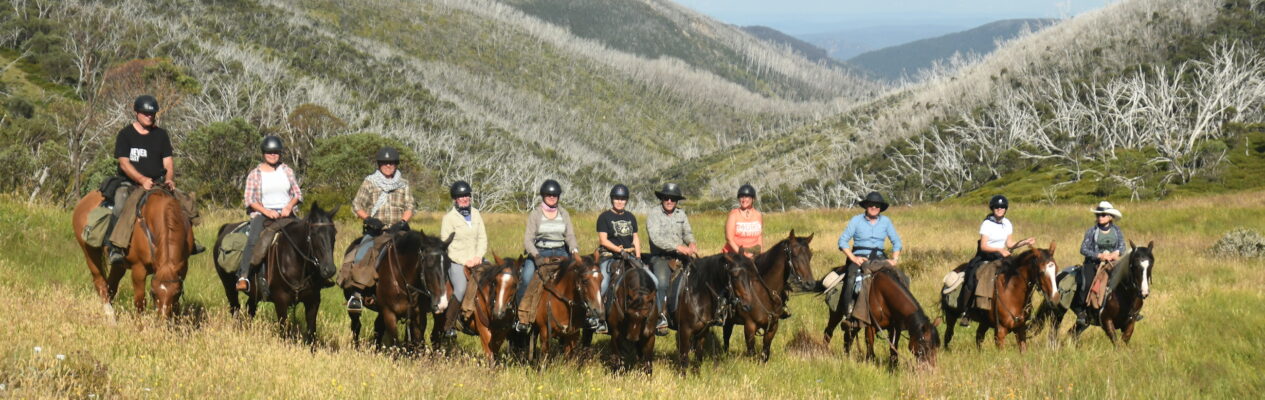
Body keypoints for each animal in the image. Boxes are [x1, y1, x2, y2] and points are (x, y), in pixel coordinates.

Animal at [72, 186, 192, 320]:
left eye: (177, 293)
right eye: (153, 293)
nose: (162, 319)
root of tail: (83, 202)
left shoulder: (182, 269)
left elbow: (176, 306)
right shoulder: (138, 269)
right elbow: (140, 302)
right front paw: (139, 324)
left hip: (119, 265)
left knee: (111, 287)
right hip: (90, 254)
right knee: (100, 283)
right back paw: (110, 317)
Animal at [723, 231, 819, 359]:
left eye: (810, 255)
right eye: (794, 255)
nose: (810, 283)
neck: (764, 293)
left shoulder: (772, 327)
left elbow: (765, 354)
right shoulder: (749, 326)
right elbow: (751, 354)